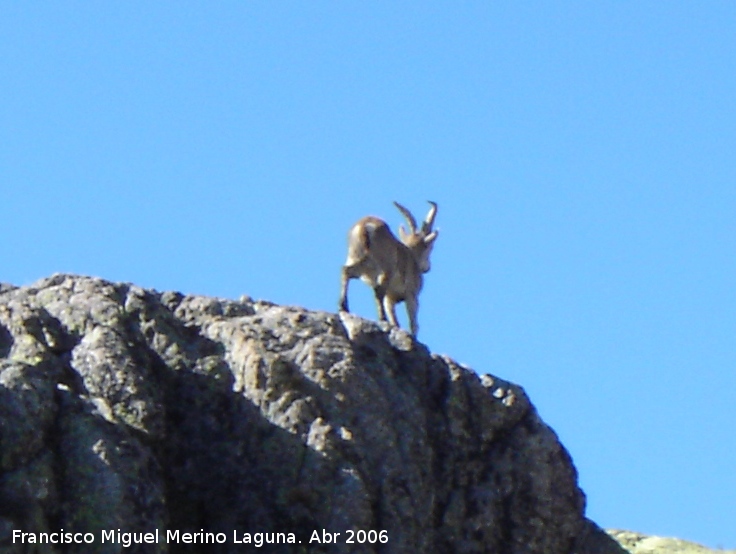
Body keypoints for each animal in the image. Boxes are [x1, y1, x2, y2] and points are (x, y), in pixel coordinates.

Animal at [340, 201, 436, 334]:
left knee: (346, 271)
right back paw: (382, 318)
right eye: (430, 247)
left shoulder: (390, 298)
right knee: (378, 290)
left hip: (358, 258)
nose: (427, 268)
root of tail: (365, 226)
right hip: (385, 267)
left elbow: (395, 319)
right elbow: (413, 323)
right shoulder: (411, 295)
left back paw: (343, 306)